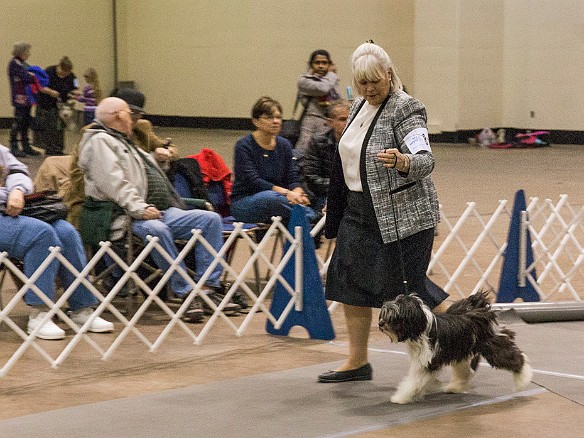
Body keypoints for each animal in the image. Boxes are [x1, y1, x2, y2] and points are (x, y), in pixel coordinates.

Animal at [378, 290, 532, 404]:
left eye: (394, 316)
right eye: (384, 313)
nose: (380, 323)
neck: (422, 327)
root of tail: (479, 310)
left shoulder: (427, 361)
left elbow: (413, 381)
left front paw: (401, 397)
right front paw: (429, 388)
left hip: (491, 347)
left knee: (516, 358)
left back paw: (522, 379)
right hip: (464, 351)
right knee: (464, 371)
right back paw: (455, 387)